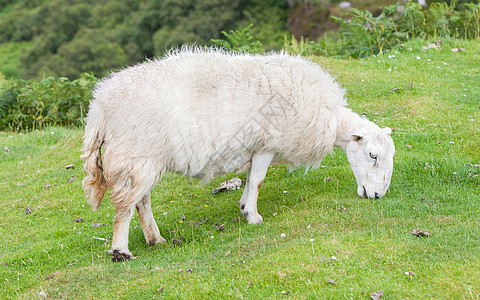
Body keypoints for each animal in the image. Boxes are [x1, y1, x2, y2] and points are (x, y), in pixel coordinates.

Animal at [81, 48, 394, 262]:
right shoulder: (266, 144)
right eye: (372, 155)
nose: (378, 196)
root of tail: (99, 106)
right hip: (135, 156)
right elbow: (257, 180)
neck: (329, 118)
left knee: (141, 201)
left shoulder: (254, 149)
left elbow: (250, 179)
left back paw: (155, 239)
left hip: (145, 160)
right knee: (125, 205)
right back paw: (121, 250)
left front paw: (244, 206)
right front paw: (253, 216)